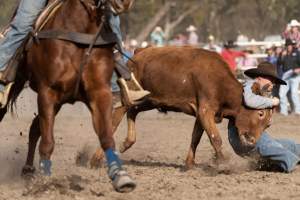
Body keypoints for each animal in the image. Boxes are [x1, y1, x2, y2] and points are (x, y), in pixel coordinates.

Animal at [0, 0, 136, 193]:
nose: (125, 3)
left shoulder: (99, 92)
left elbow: (106, 136)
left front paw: (121, 176)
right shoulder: (47, 92)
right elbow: (48, 142)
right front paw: (44, 181)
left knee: (34, 128)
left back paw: (28, 169)